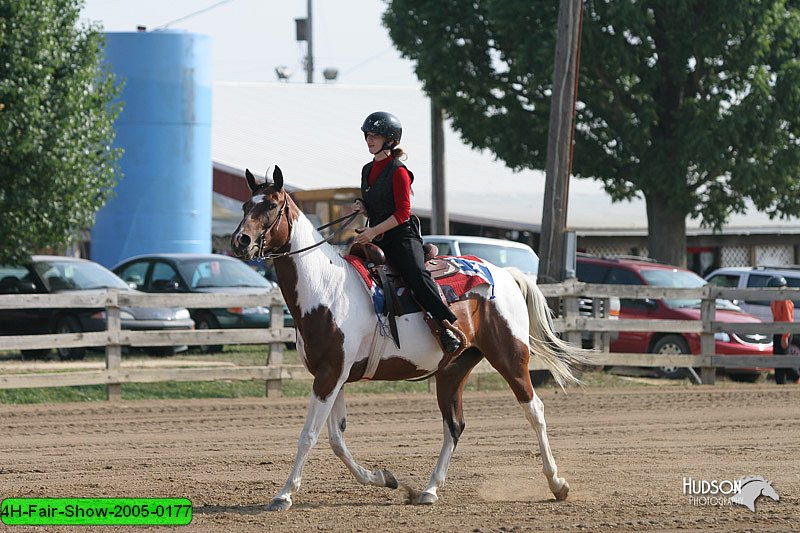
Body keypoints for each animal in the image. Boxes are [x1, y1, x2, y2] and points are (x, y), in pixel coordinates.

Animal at [230, 166, 588, 512]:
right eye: (246, 205)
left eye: (271, 205)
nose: (240, 241)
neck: (326, 287)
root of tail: (506, 274)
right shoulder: (334, 375)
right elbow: (336, 439)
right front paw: (384, 478)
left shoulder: (330, 375)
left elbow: (309, 435)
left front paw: (284, 495)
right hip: (453, 370)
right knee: (454, 425)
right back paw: (429, 490)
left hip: (510, 357)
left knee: (534, 410)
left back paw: (557, 484)